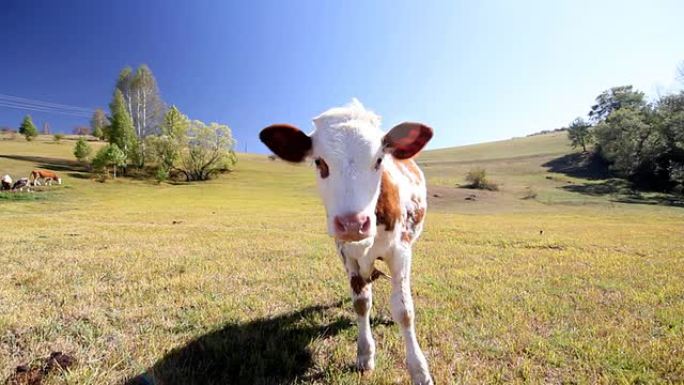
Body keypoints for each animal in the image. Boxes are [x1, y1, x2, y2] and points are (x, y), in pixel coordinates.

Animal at [260, 100, 432, 384]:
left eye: (379, 160)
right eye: (319, 162)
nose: (352, 223)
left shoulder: (401, 251)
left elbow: (404, 310)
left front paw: (419, 369)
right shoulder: (347, 254)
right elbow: (361, 302)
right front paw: (365, 354)